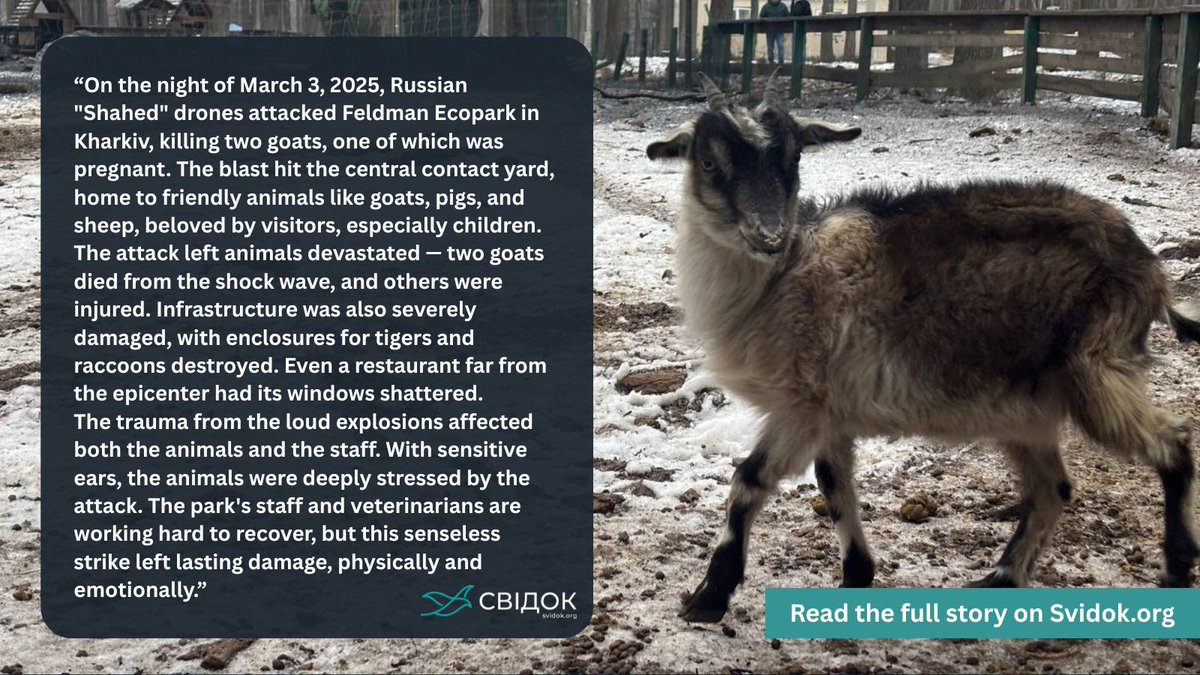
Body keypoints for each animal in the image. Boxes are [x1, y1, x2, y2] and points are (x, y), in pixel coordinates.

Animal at [646, 74, 1200, 624]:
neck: (784, 275)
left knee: (1172, 445)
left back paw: (1175, 568)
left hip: (1096, 371)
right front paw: (856, 577)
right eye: (709, 162)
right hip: (1028, 408)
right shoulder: (829, 410)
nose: (768, 235)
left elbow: (749, 481)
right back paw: (999, 580)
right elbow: (834, 486)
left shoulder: (800, 408)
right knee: (1052, 489)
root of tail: (1149, 268)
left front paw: (708, 597)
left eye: (795, 157)